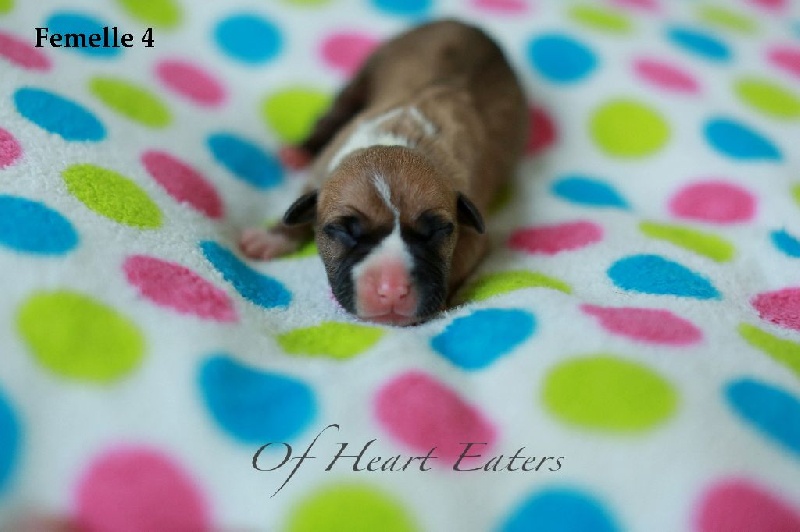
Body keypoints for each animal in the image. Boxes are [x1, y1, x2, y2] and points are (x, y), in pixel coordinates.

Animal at [240, 19, 528, 326]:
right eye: (344, 231)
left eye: (437, 231)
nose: (392, 290)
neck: (398, 140)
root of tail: (463, 22)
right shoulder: (322, 172)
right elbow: (300, 205)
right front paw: (270, 238)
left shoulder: (474, 232)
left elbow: (460, 258)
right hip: (370, 68)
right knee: (339, 107)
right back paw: (299, 151)